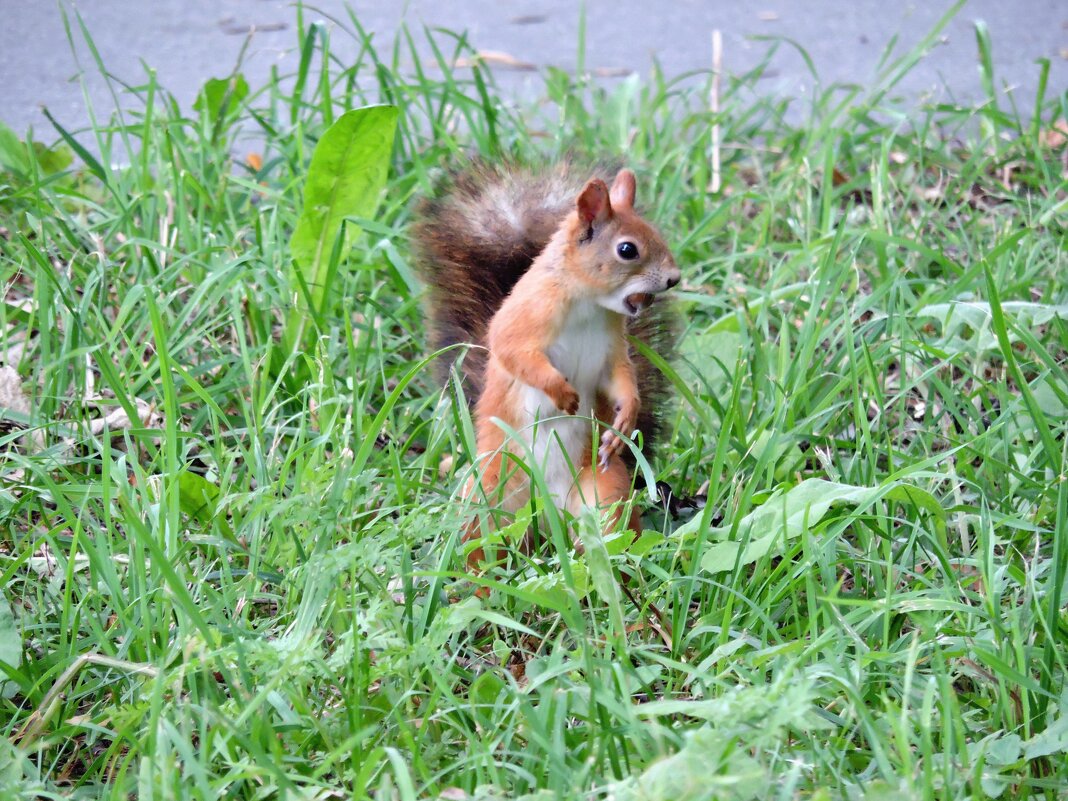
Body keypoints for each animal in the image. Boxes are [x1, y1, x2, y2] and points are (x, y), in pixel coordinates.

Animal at [412, 161, 679, 563]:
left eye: (657, 233)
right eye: (627, 249)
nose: (674, 278)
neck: (588, 304)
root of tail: (548, 512)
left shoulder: (612, 348)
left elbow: (621, 377)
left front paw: (626, 415)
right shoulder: (523, 318)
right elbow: (516, 354)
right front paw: (562, 393)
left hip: (602, 493)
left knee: (609, 531)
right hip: (492, 494)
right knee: (482, 541)